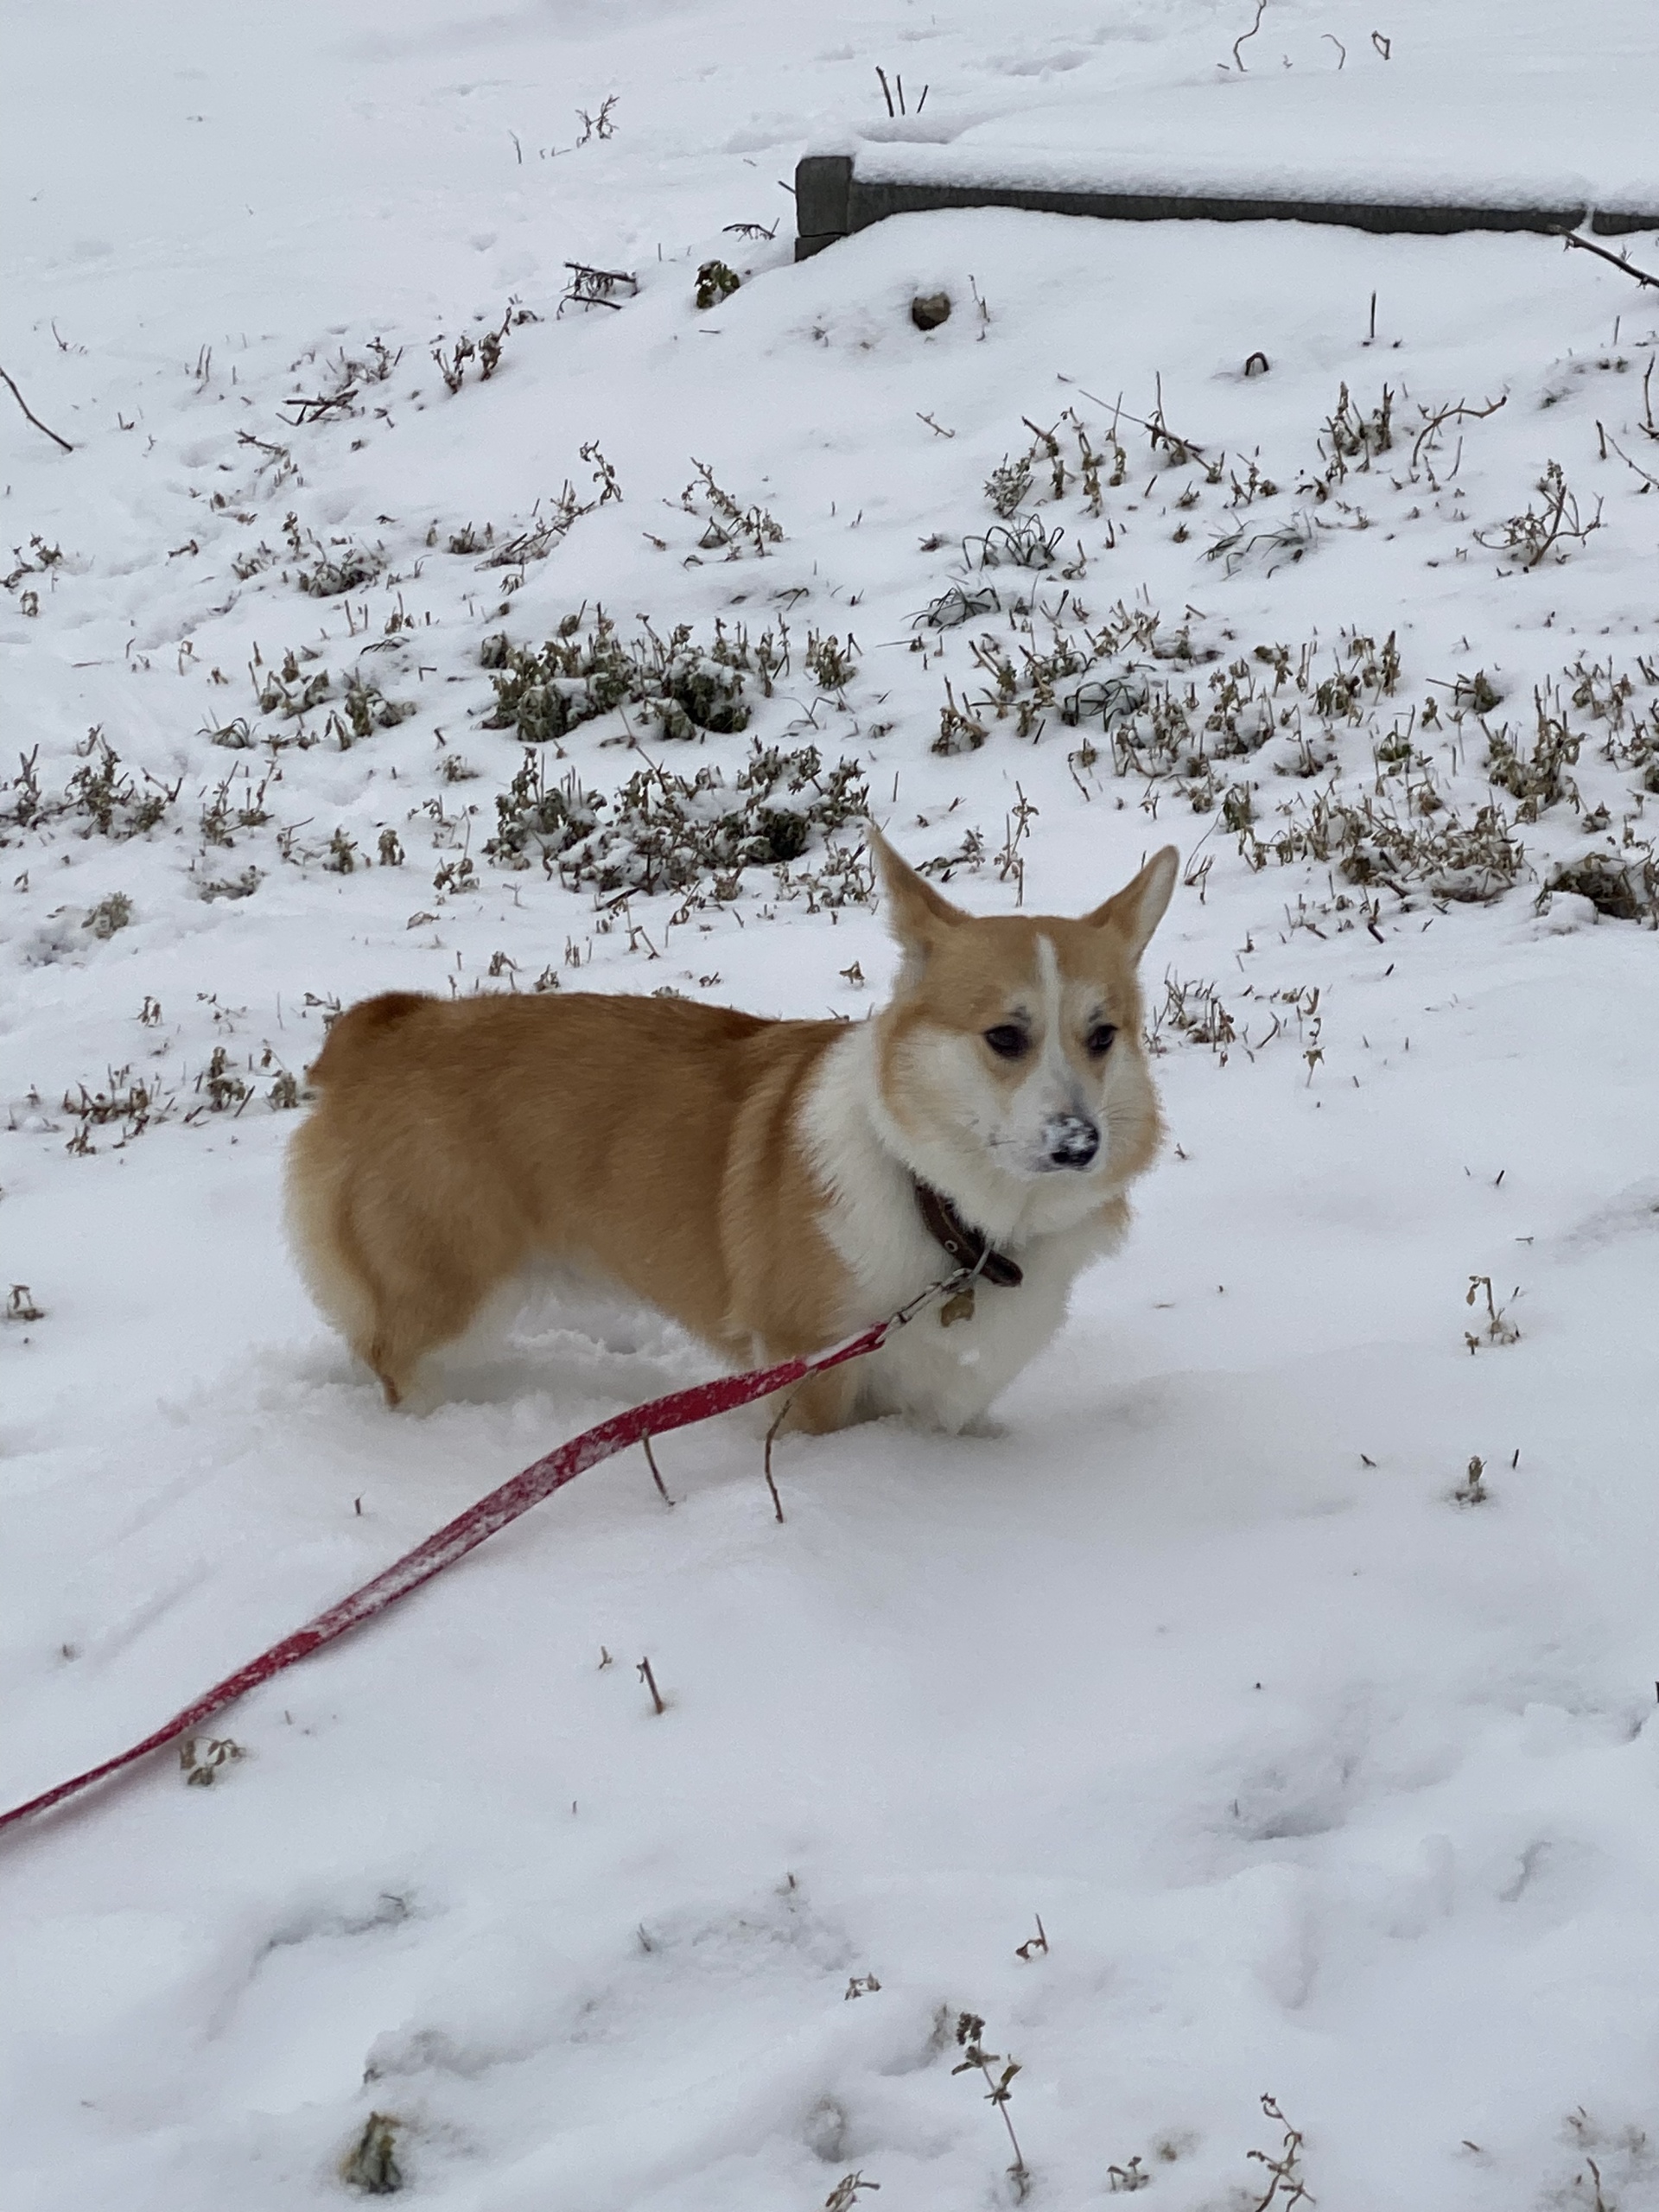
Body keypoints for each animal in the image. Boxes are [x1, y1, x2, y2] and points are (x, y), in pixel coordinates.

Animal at [285, 831, 1176, 1433]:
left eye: (1103, 1035)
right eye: (1005, 1037)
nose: (1078, 1146)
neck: (949, 1216)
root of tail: (385, 1029)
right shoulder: (808, 1365)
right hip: (446, 1290)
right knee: (398, 1359)